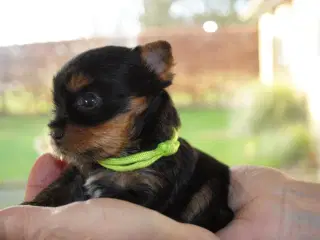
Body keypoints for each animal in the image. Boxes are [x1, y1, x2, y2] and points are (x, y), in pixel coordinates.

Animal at [21, 40, 232, 232]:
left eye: (88, 101)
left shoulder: (148, 189)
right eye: (56, 105)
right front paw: (31, 205)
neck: (118, 157)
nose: (53, 133)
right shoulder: (75, 174)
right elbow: (54, 190)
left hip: (209, 189)